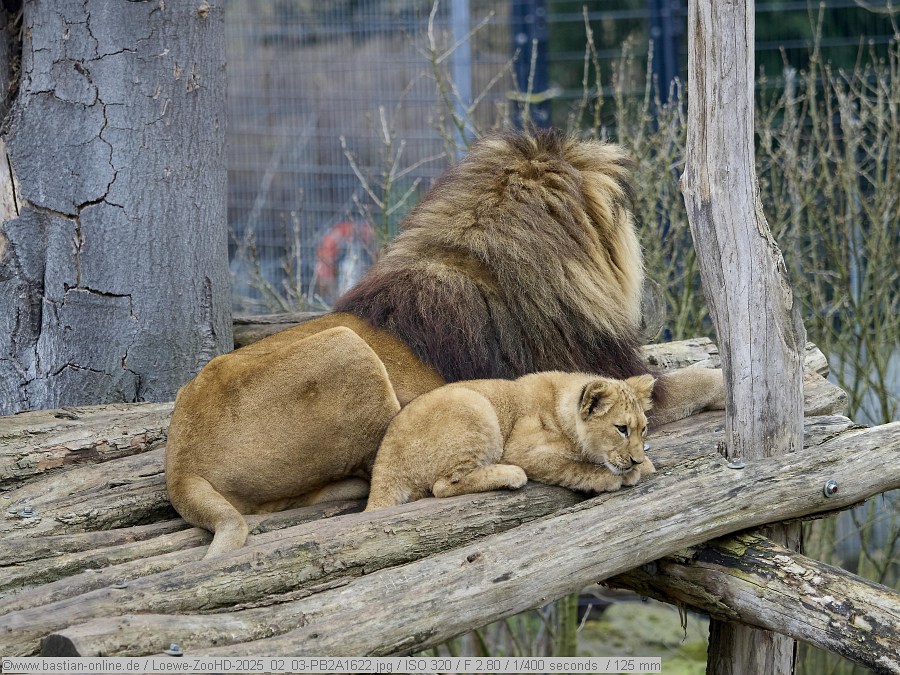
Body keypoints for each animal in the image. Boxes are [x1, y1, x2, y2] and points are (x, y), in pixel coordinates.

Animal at [365, 373, 657, 511]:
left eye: (643, 429)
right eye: (621, 429)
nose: (636, 460)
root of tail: (384, 462)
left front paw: (645, 465)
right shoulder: (521, 449)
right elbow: (570, 467)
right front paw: (610, 477)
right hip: (475, 405)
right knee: (443, 486)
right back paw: (511, 475)